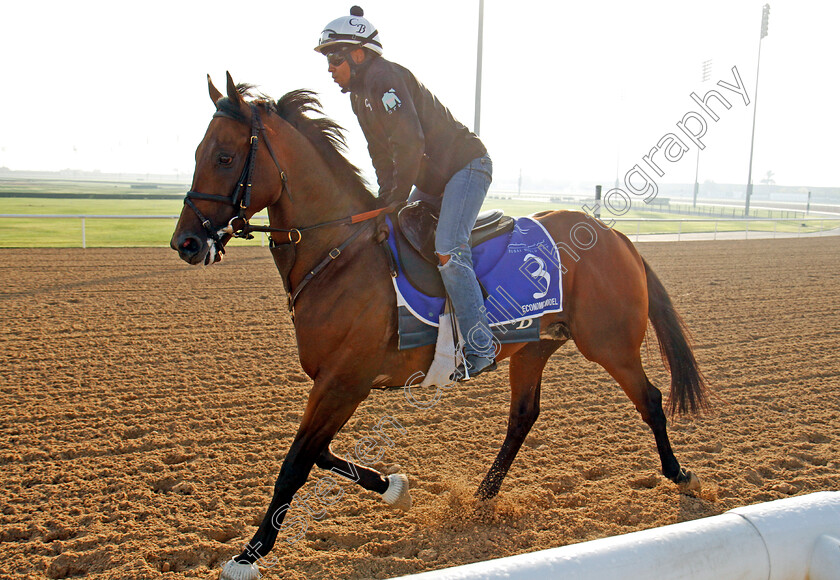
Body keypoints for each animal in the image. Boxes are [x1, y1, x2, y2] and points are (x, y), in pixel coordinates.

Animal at [171, 75, 708, 576]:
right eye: (197, 152)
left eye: (223, 157)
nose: (186, 243)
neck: (340, 254)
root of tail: (615, 235)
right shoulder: (335, 384)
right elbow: (320, 453)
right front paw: (395, 488)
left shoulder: (344, 382)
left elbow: (296, 463)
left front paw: (248, 554)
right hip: (535, 347)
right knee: (523, 417)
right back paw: (481, 496)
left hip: (609, 343)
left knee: (650, 399)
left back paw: (682, 475)